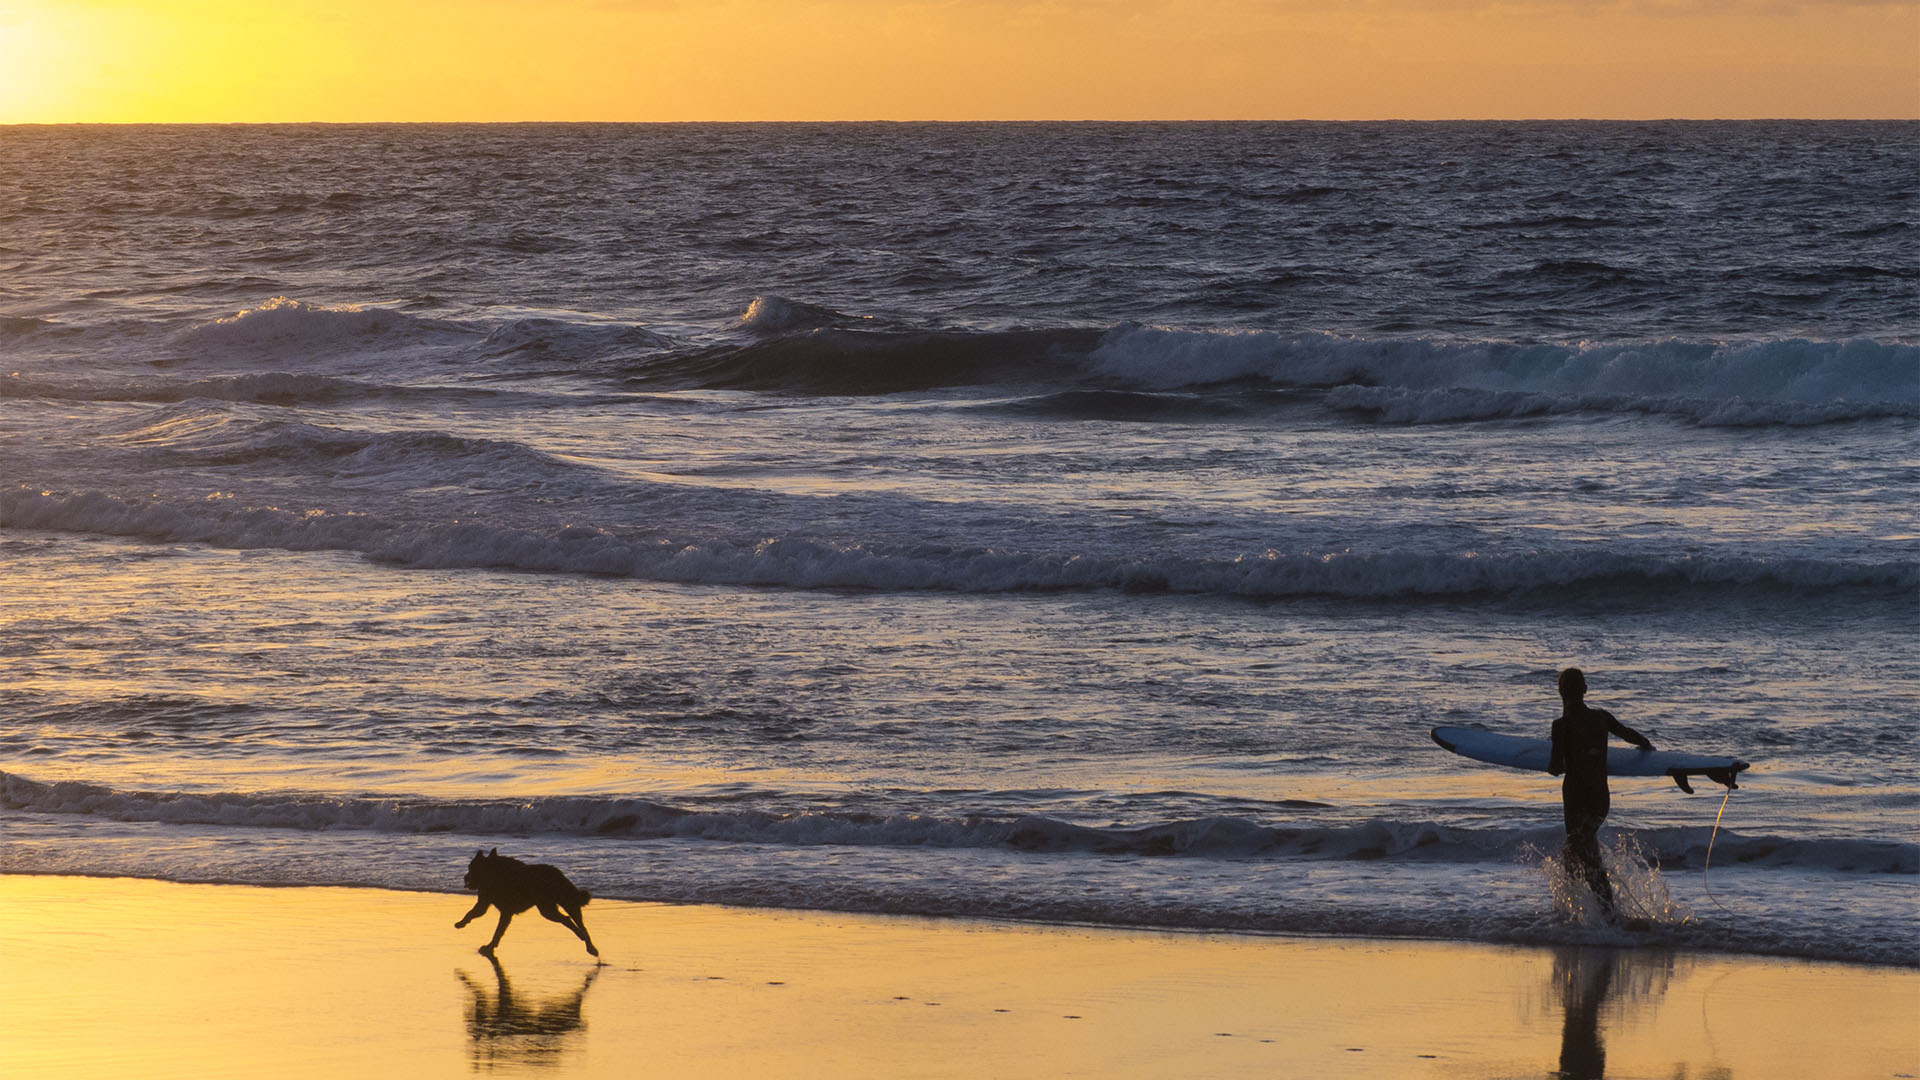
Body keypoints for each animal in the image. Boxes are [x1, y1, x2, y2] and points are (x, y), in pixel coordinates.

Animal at [453, 845, 595, 953]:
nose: (465, 878)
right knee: (578, 923)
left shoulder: (504, 912)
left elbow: (497, 930)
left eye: (471, 868)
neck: (494, 874)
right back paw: (590, 946)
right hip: (560, 905)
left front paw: (489, 946)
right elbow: (473, 914)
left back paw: (584, 939)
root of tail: (557, 873)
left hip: (548, 909)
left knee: (569, 920)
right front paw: (462, 923)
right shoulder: (487, 905)